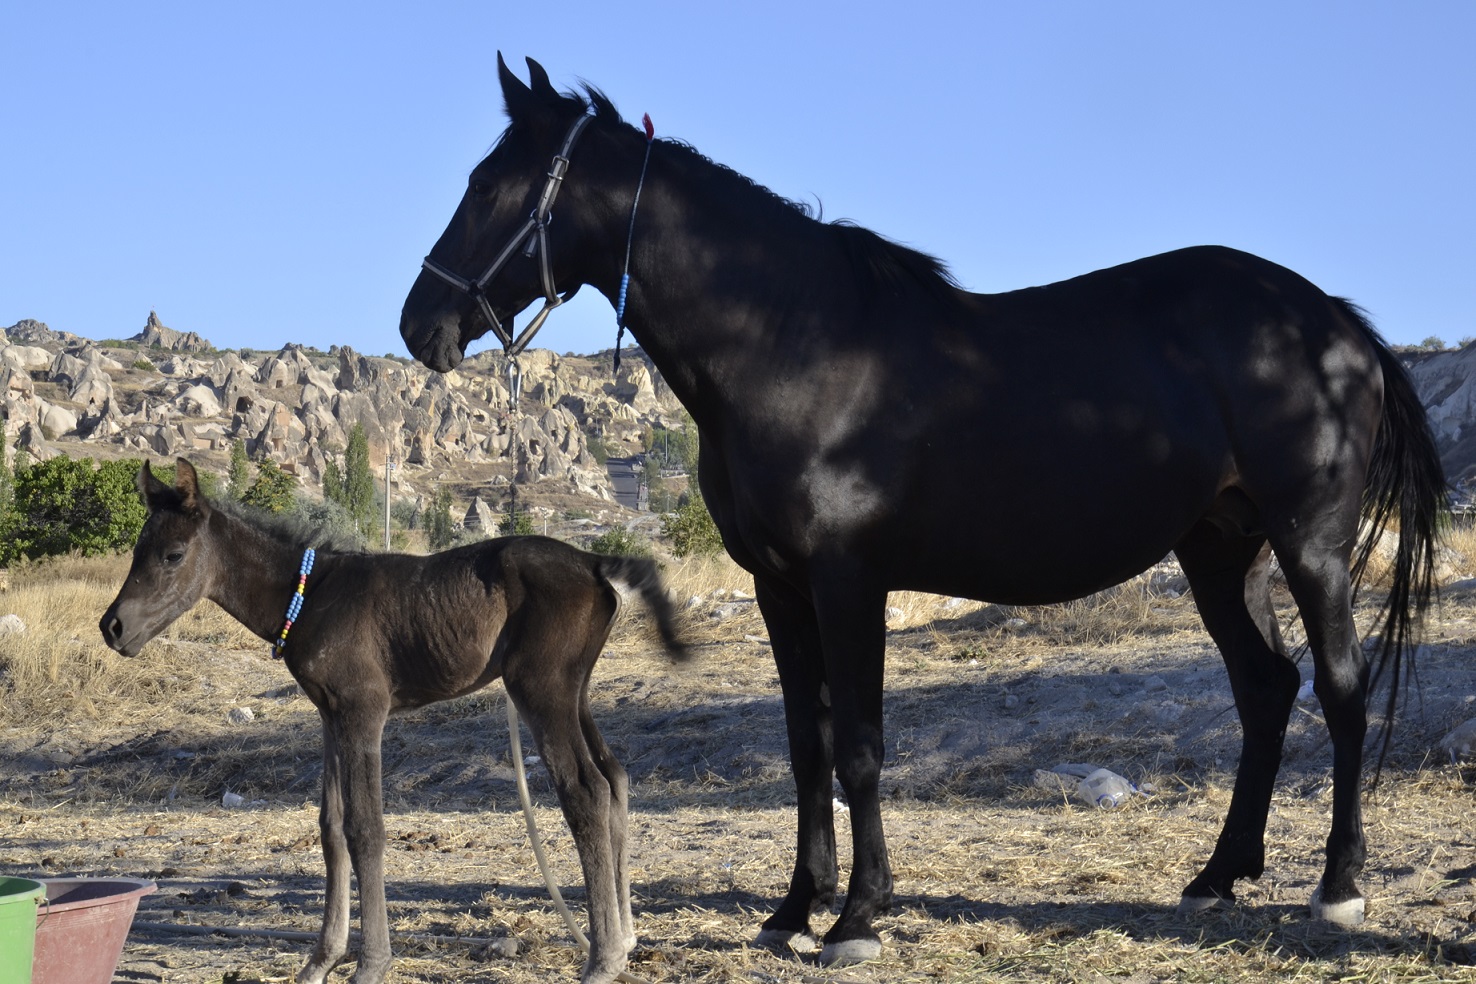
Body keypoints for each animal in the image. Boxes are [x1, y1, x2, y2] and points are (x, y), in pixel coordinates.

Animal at [100, 458, 688, 984]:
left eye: (174, 554)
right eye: (136, 550)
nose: (113, 626)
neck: (308, 596)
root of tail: (593, 561)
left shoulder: (364, 710)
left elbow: (366, 828)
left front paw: (370, 964)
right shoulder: (330, 715)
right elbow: (331, 826)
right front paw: (319, 961)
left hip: (540, 687)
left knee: (585, 791)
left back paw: (602, 960)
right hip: (575, 690)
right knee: (614, 778)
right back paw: (625, 938)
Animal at [398, 56, 1446, 965]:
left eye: (491, 186)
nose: (421, 326)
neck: (794, 347)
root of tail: (1334, 321)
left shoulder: (849, 581)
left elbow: (860, 746)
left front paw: (858, 918)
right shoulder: (781, 590)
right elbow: (807, 745)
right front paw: (793, 909)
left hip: (1310, 544)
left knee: (1339, 691)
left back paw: (1338, 889)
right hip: (1221, 550)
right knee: (1266, 689)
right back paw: (1217, 877)